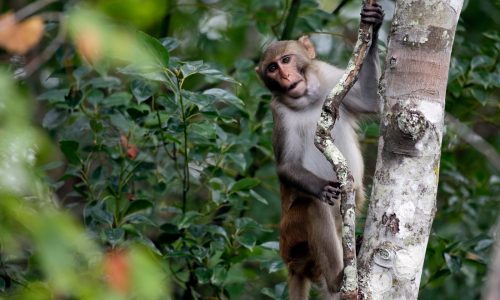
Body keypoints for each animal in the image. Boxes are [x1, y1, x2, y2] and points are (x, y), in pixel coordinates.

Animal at [256, 2, 384, 300]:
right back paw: (338, 279)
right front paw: (322, 187)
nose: (285, 76)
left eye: (286, 60)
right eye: (272, 68)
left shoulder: (329, 77)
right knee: (311, 207)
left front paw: (374, 25)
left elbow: (370, 101)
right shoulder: (279, 113)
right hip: (292, 238)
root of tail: (291, 264)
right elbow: (286, 166)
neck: (307, 99)